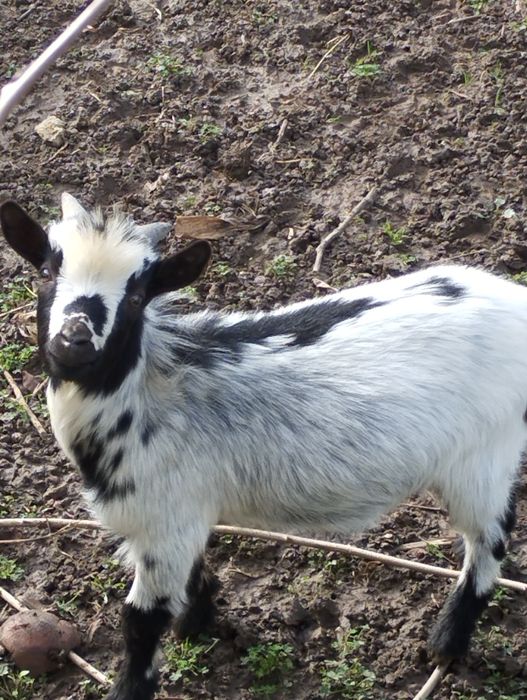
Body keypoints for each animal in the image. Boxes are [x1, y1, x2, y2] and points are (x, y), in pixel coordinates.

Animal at [0, 193, 523, 700]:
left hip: (484, 454)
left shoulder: (162, 521)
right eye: (46, 271)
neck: (146, 394)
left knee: (491, 537)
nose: (74, 338)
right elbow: (194, 571)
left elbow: (140, 623)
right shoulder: (184, 514)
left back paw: (447, 642)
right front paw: (197, 623)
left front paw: (135, 683)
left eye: (135, 295)